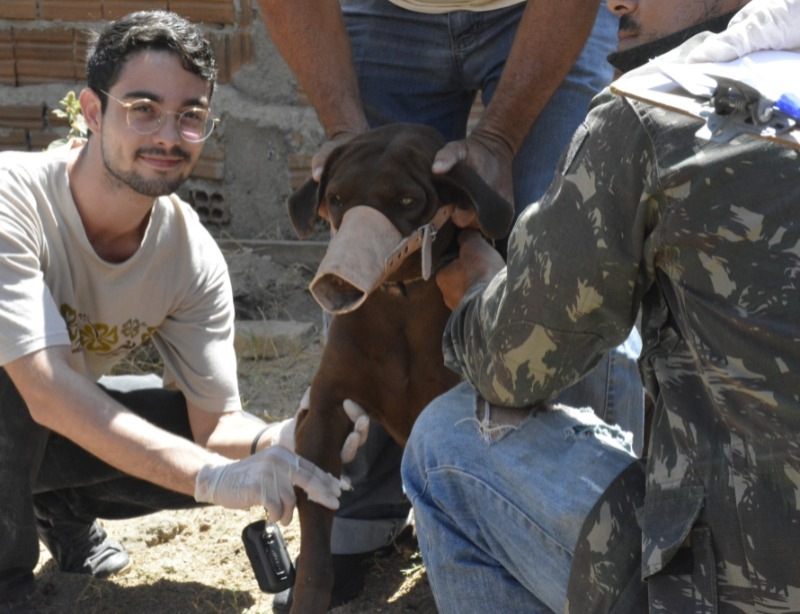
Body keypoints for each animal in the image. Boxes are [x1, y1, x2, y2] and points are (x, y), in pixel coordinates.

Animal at [286, 123, 514, 613]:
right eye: (336, 197)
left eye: (408, 200)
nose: (337, 281)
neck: (399, 302)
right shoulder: (325, 414)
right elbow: (314, 547)